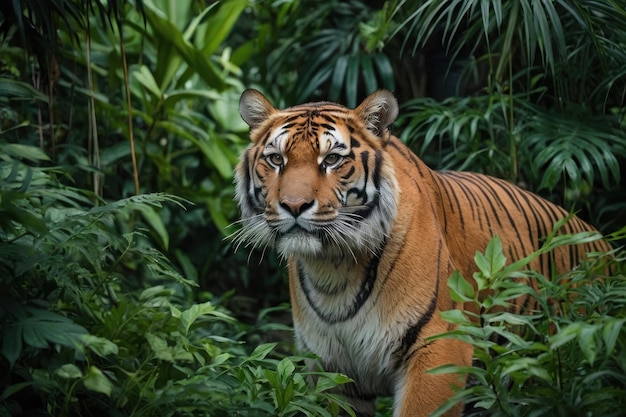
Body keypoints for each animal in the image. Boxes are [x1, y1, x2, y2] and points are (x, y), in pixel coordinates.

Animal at [232, 89, 608, 416]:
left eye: (333, 159)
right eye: (276, 159)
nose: (294, 206)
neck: (332, 267)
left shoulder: (441, 346)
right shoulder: (330, 369)